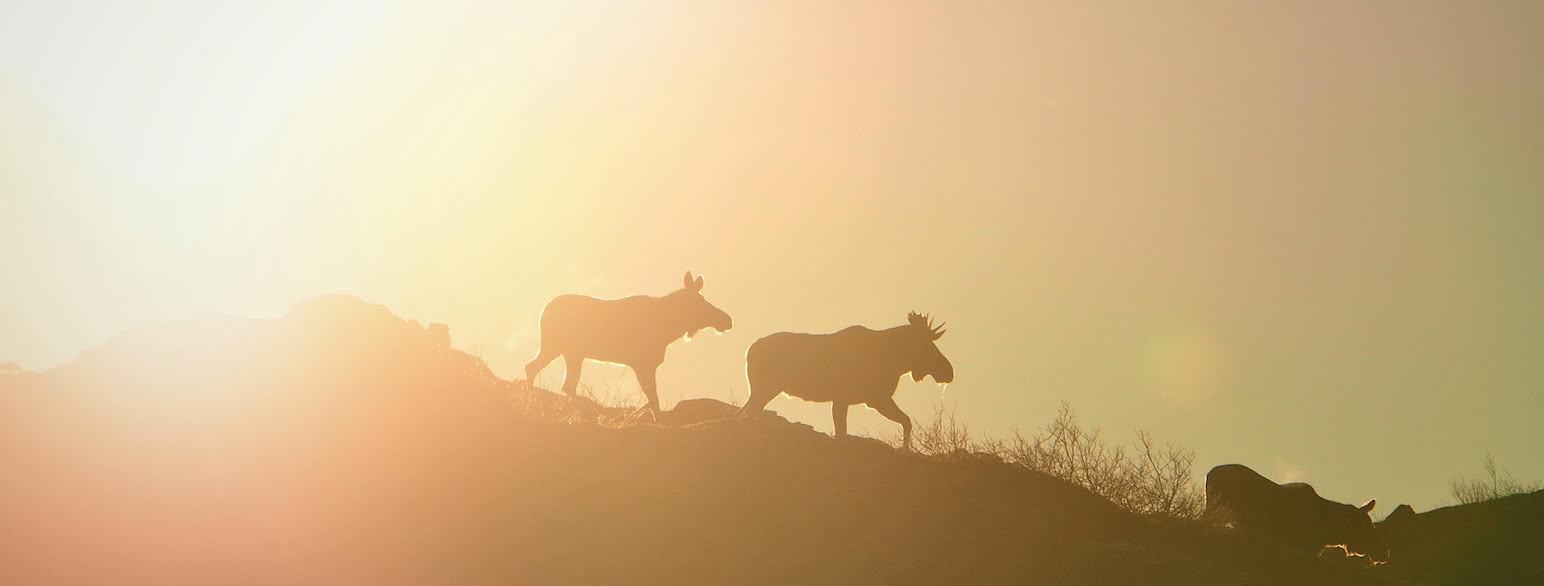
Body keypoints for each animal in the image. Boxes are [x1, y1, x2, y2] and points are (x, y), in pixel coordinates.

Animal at [521, 272, 731, 413]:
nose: (727, 320)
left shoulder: (646, 366)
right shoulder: (642, 364)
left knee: (547, 375)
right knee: (545, 374)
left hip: (568, 352)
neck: (669, 330)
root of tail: (543, 311)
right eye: (701, 301)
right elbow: (654, 401)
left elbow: (652, 400)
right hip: (557, 347)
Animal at [738, 311, 951, 447]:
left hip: (764, 390)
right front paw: (906, 448)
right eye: (927, 344)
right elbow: (905, 421)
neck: (894, 362)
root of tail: (749, 351)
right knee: (747, 412)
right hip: (764, 388)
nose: (949, 372)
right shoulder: (873, 399)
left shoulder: (856, 400)